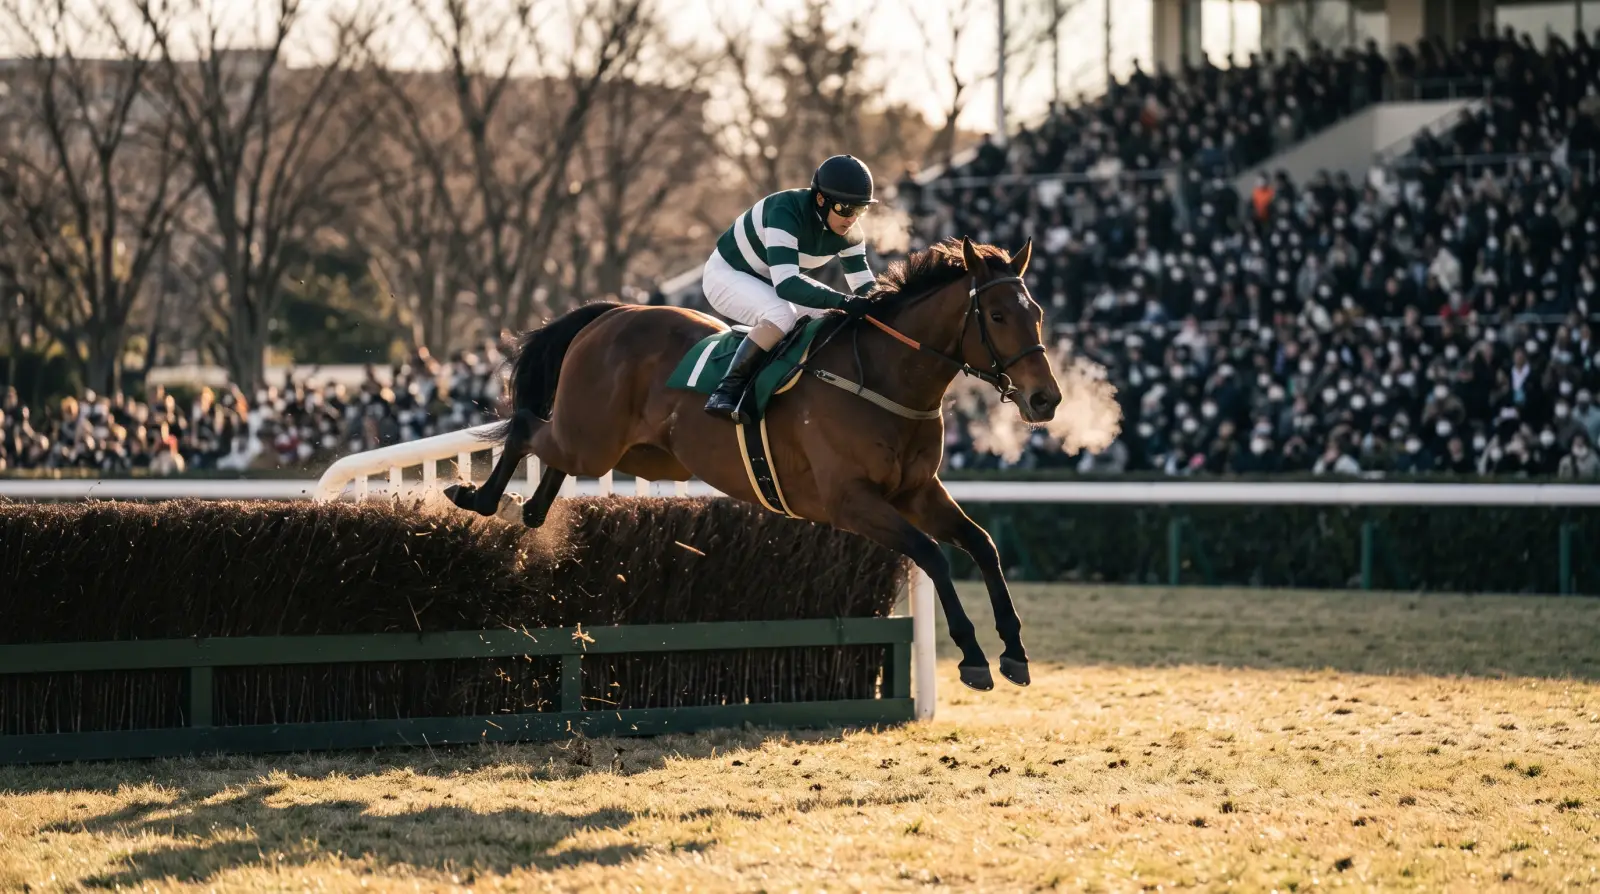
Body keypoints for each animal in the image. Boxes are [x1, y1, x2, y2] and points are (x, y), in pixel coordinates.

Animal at [444, 236, 1062, 691]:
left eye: (1037, 311)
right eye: (998, 315)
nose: (1045, 399)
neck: (884, 380)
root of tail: (613, 312)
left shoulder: (917, 493)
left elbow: (982, 544)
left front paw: (1013, 648)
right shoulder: (852, 502)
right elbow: (932, 554)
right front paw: (973, 657)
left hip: (628, 449)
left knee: (548, 452)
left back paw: (526, 510)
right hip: (592, 439)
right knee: (525, 428)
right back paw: (478, 498)